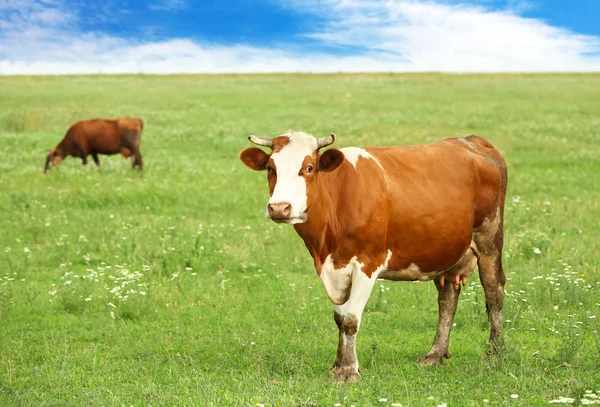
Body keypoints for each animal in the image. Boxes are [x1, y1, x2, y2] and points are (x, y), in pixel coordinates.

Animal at [239, 131, 506, 382]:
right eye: (271, 168)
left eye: (309, 167)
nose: (279, 208)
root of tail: (471, 140)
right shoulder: (331, 270)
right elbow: (339, 318)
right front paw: (338, 365)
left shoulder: (367, 265)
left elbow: (350, 320)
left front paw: (350, 370)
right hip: (446, 251)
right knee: (447, 299)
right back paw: (435, 354)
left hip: (490, 239)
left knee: (494, 292)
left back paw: (495, 352)